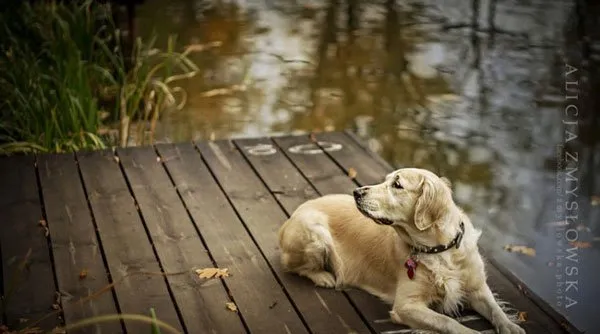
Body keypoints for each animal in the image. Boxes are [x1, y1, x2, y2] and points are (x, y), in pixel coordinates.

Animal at [278, 168, 524, 334]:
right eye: (386, 180)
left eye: (397, 185)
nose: (356, 192)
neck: (439, 250)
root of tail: (291, 216)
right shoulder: (406, 305)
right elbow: (449, 322)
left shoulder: (477, 287)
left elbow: (495, 309)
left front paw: (511, 326)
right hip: (315, 232)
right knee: (294, 266)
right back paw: (324, 276)